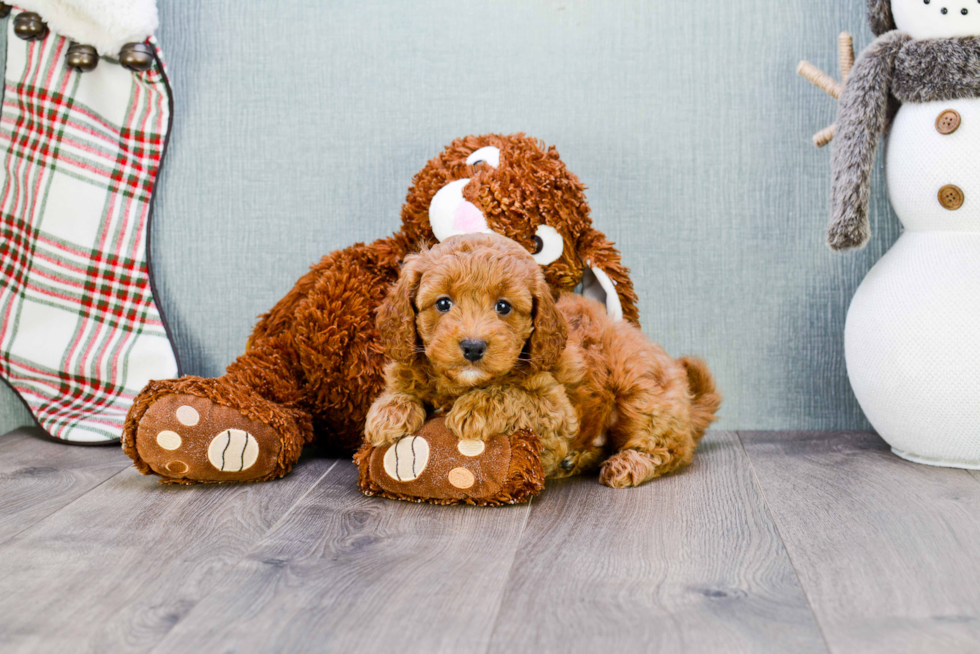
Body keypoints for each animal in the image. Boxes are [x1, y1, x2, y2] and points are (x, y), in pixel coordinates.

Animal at [368, 234, 720, 486]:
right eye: (443, 303)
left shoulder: (556, 409)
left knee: (670, 449)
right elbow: (402, 388)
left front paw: (474, 408)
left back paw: (628, 463)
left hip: (641, 393)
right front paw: (387, 413)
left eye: (503, 306)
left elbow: (513, 394)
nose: (473, 347)